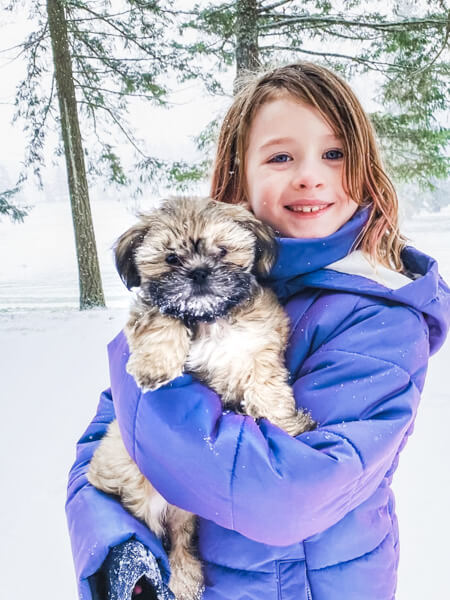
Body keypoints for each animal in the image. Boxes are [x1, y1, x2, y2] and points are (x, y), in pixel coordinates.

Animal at [87, 198, 312, 600]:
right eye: (171, 258)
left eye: (221, 251)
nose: (199, 273)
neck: (209, 318)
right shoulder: (156, 307)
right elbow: (159, 317)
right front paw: (155, 364)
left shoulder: (259, 347)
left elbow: (266, 387)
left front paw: (286, 424)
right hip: (137, 483)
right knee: (159, 533)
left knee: (178, 536)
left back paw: (184, 577)